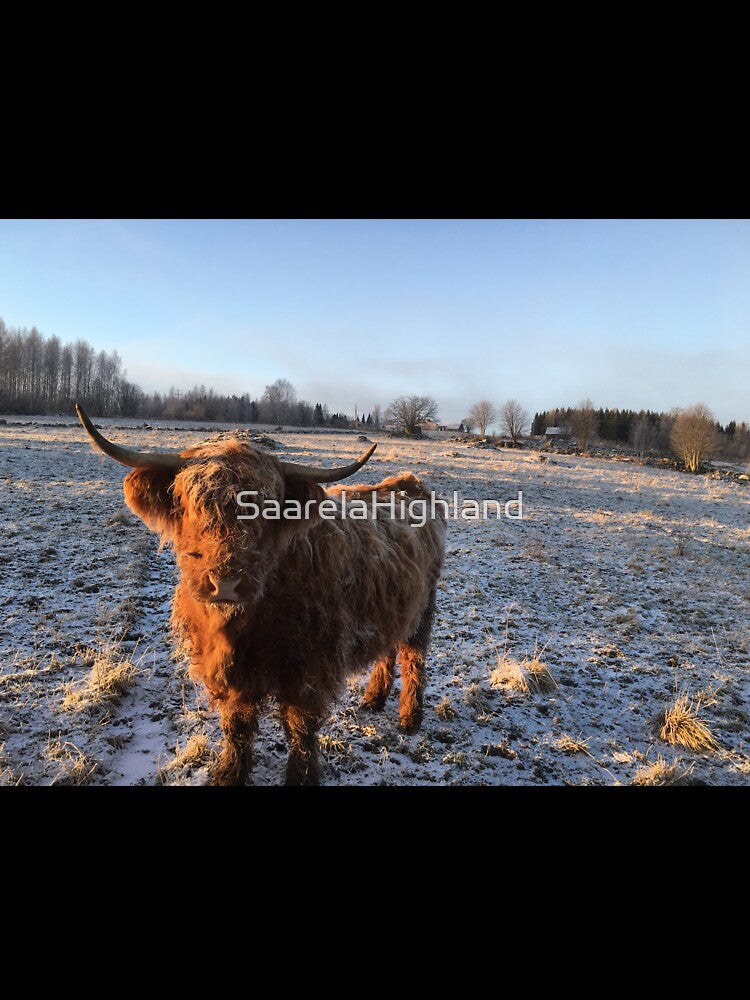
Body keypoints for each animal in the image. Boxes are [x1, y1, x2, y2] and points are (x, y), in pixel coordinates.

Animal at [75, 404, 446, 785]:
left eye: (268, 510)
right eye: (190, 505)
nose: (225, 583)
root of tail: (408, 484)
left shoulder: (309, 667)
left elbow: (300, 727)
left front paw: (300, 776)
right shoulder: (229, 669)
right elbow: (237, 725)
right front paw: (230, 774)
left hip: (424, 606)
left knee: (413, 657)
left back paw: (410, 718)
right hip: (394, 608)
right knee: (388, 648)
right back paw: (374, 699)